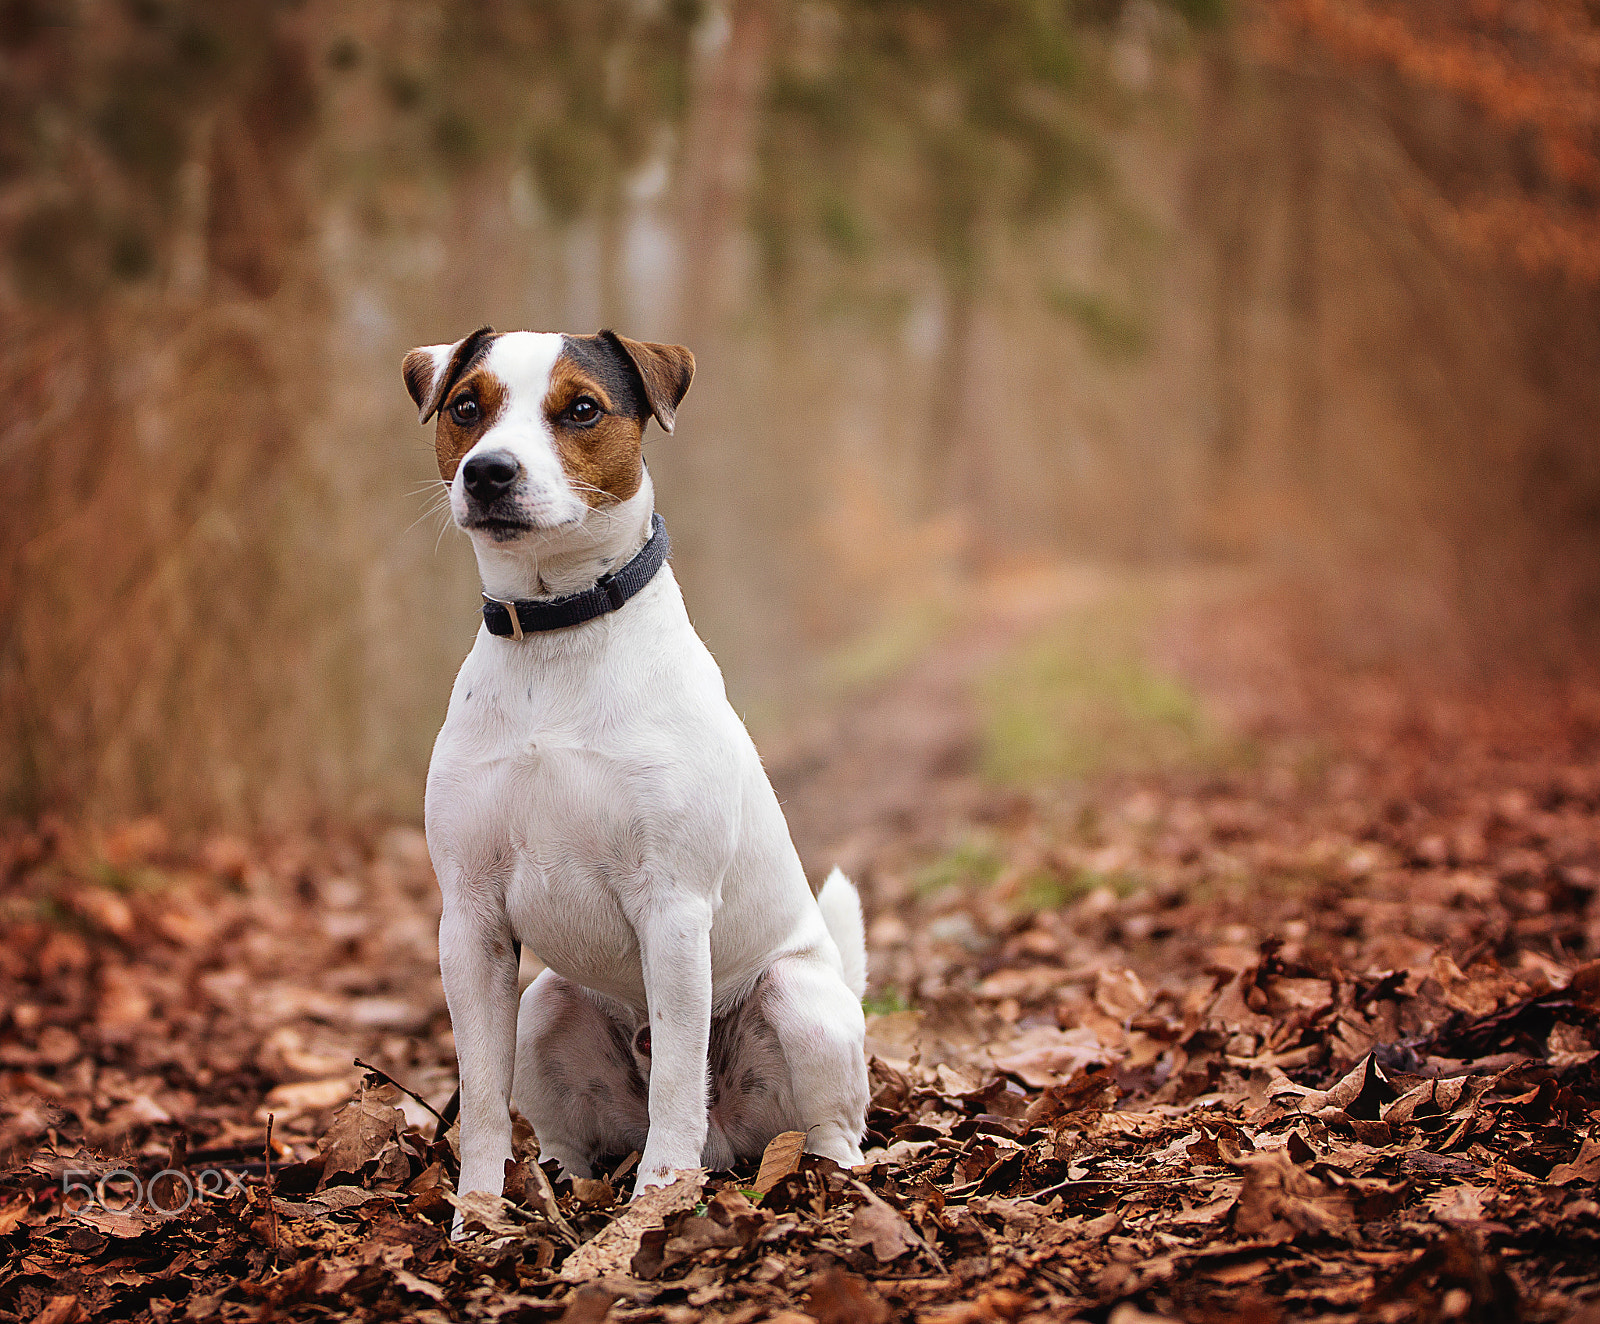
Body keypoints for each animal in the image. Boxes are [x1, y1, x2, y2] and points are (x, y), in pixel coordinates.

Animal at [406, 326, 870, 1202]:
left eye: (582, 409)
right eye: (466, 407)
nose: (489, 471)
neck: (557, 631)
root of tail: (731, 1146)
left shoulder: (674, 906)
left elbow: (679, 1080)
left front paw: (660, 1196)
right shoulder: (470, 920)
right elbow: (480, 1098)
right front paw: (476, 1214)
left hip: (798, 1001)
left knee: (829, 1122)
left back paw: (828, 1175)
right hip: (546, 1006)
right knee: (567, 1123)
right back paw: (558, 1175)